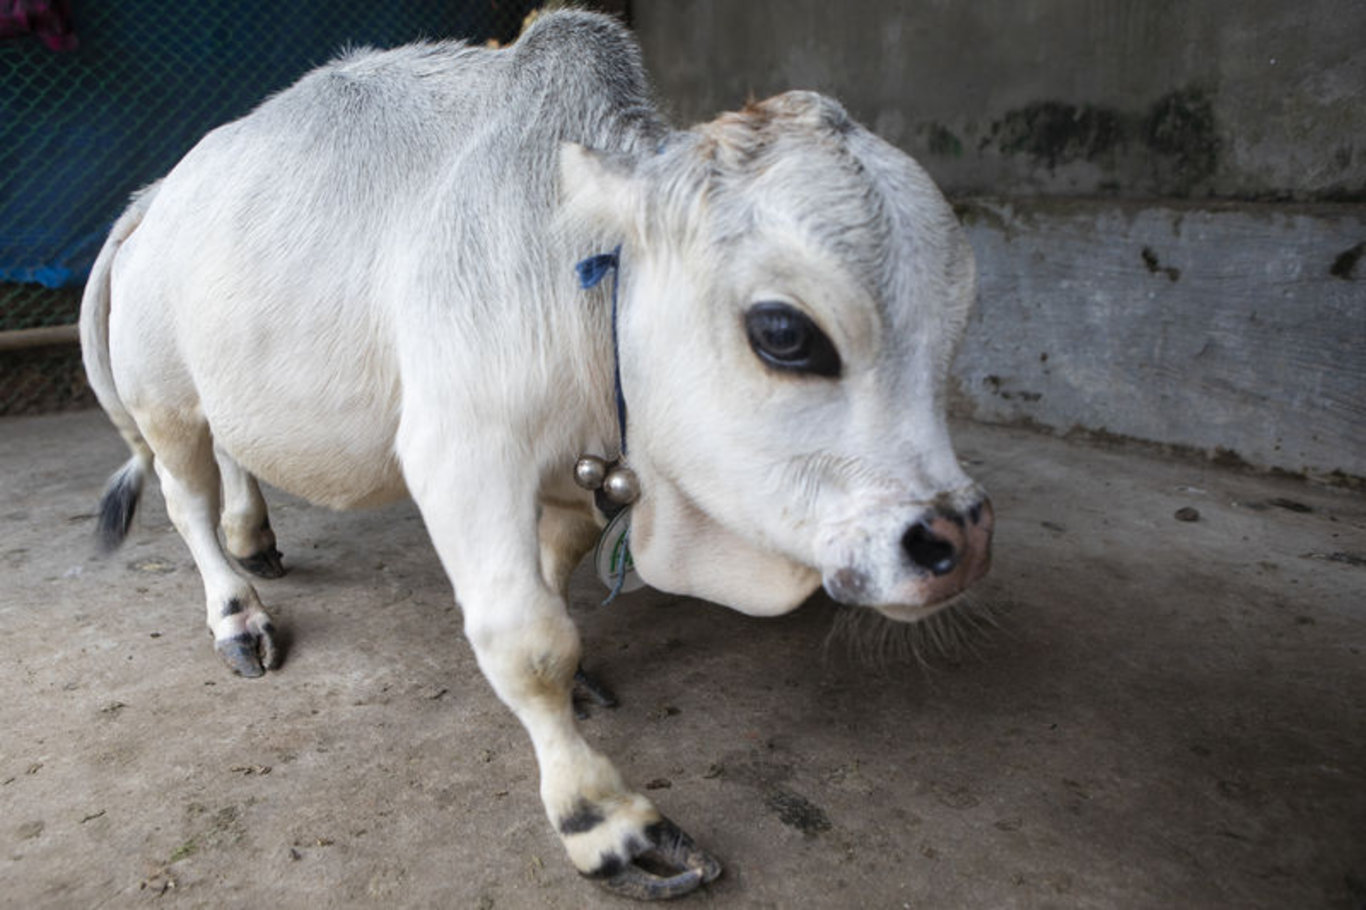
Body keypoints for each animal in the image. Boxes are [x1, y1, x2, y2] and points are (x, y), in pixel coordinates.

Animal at [77, 10, 994, 896]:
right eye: (784, 332)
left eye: (955, 327)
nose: (960, 539)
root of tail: (153, 195)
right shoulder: (462, 451)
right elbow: (529, 642)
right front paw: (603, 821)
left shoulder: (570, 482)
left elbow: (556, 587)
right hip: (165, 402)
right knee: (186, 504)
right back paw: (237, 611)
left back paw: (255, 534)